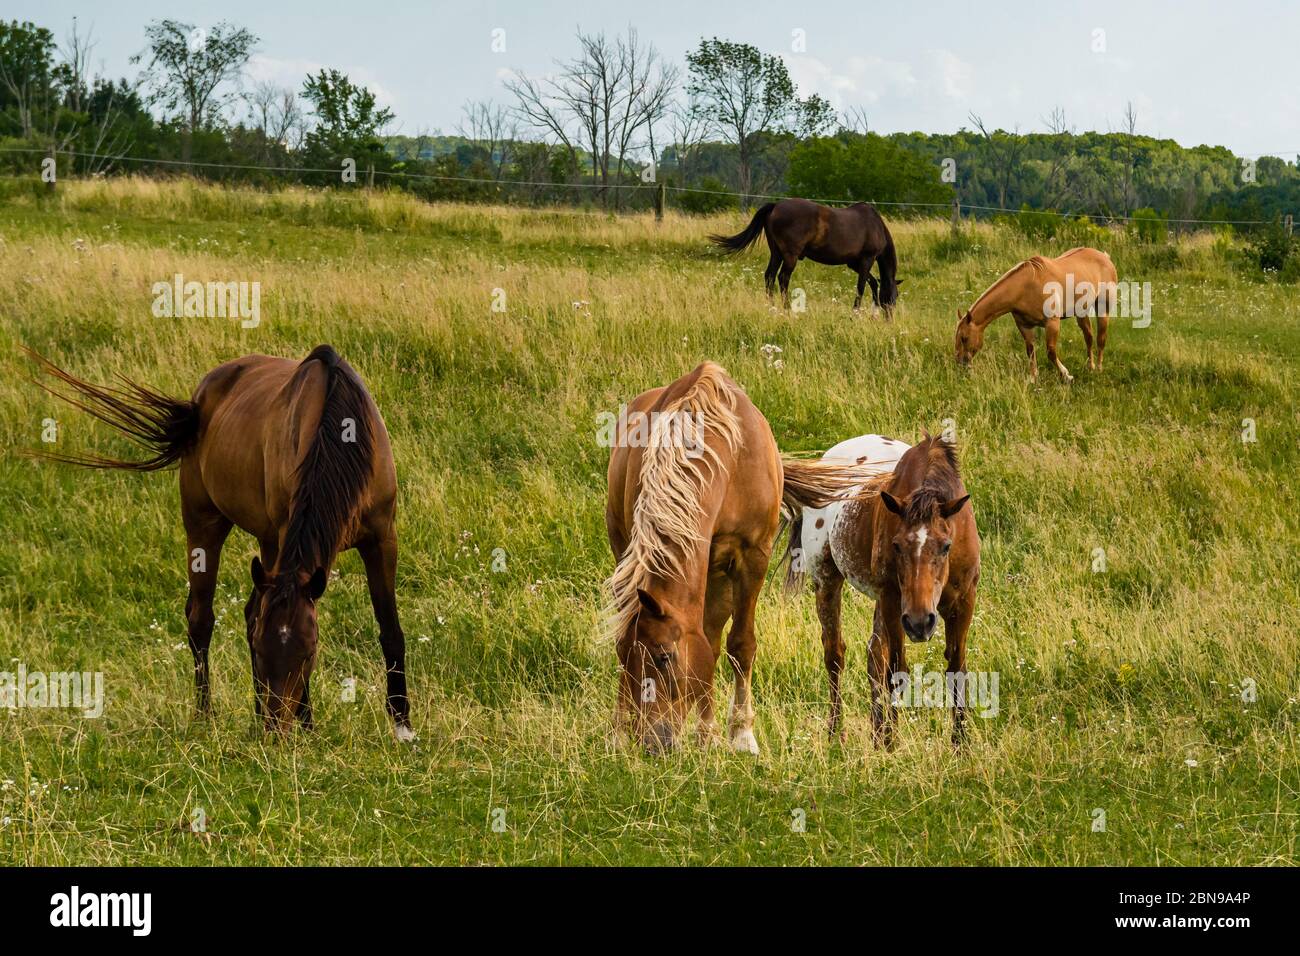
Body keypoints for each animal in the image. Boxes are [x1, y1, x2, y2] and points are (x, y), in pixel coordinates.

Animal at [24, 345, 412, 739]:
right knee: (202, 618)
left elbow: (390, 630)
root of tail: (202, 395)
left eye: (309, 652)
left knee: (250, 609)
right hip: (207, 524)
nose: (276, 730)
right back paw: (205, 714)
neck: (337, 430)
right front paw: (307, 723)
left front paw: (402, 727)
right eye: (261, 652)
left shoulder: (382, 539)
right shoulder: (283, 538)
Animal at [605, 361, 864, 754]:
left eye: (664, 656)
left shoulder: (751, 558)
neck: (726, 460)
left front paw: (741, 735)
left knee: (712, 641)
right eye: (627, 657)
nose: (652, 742)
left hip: (720, 579)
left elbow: (739, 644)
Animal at [709, 198, 903, 316]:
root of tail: (776, 206)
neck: (875, 225)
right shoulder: (866, 260)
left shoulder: (853, 263)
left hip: (777, 253)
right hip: (790, 255)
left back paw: (771, 306)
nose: (889, 317)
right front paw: (856, 311)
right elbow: (862, 286)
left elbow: (873, 282)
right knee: (783, 278)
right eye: (894, 296)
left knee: (770, 276)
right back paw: (787, 308)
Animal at [788, 433, 980, 748]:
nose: (920, 622)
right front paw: (892, 743)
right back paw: (836, 733)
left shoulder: (963, 602)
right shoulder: (893, 599)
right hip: (827, 579)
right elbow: (896, 668)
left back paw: (876, 733)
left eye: (946, 546)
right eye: (897, 545)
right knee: (835, 654)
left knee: (873, 654)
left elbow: (956, 668)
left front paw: (960, 744)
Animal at [954, 247, 1117, 382]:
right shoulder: (1024, 326)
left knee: (1101, 339)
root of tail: (1105, 257)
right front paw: (1033, 378)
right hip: (1081, 312)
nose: (960, 363)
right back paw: (1091, 366)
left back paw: (1099, 369)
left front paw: (1066, 375)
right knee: (1088, 337)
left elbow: (1051, 352)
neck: (1026, 287)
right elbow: (1030, 351)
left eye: (964, 338)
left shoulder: (1052, 323)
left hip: (1103, 308)